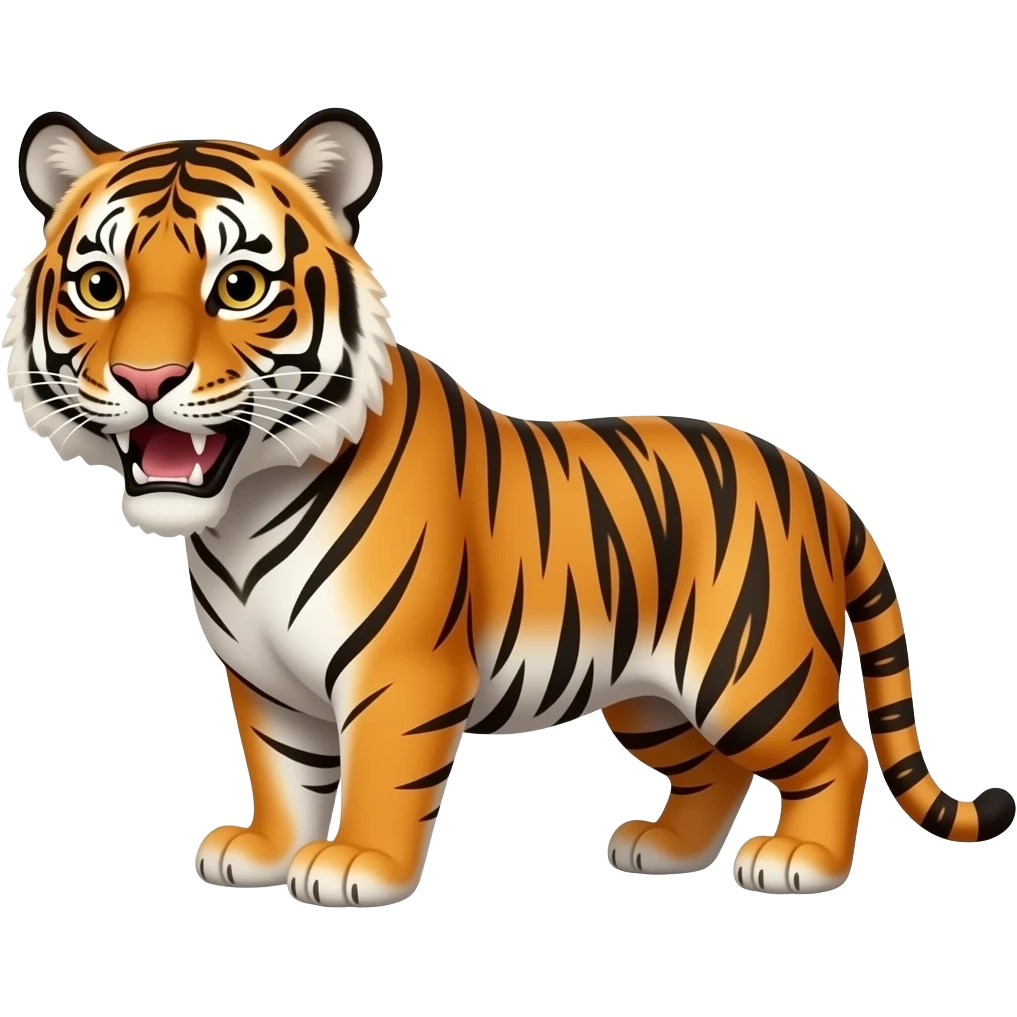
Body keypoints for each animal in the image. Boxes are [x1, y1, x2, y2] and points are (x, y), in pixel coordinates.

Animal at [5, 107, 1013, 909]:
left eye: (239, 287)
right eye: (101, 286)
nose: (146, 378)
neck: (241, 509)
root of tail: (817, 484)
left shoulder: (401, 669)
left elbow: (380, 775)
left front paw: (354, 867)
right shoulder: (266, 680)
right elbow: (284, 773)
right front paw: (263, 852)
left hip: (748, 672)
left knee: (836, 754)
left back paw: (799, 861)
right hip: (651, 697)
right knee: (716, 772)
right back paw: (663, 850)